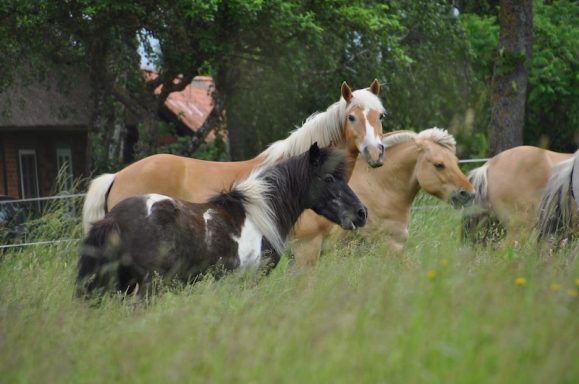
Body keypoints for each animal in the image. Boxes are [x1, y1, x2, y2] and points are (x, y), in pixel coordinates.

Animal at [290, 127, 476, 266]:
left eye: (456, 162)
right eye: (439, 165)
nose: (469, 193)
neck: (379, 188)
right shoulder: (388, 246)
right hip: (306, 253)